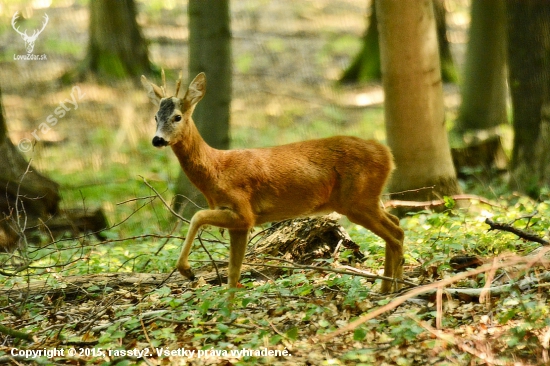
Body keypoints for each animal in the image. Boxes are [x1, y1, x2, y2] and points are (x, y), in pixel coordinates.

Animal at [140, 73, 404, 294]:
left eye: (177, 117)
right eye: (155, 117)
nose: (157, 139)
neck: (216, 170)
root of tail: (387, 155)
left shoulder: (243, 211)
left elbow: (197, 216)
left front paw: (187, 270)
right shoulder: (239, 223)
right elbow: (233, 273)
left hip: (356, 200)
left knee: (395, 234)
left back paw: (397, 286)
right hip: (367, 198)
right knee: (396, 224)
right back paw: (386, 288)